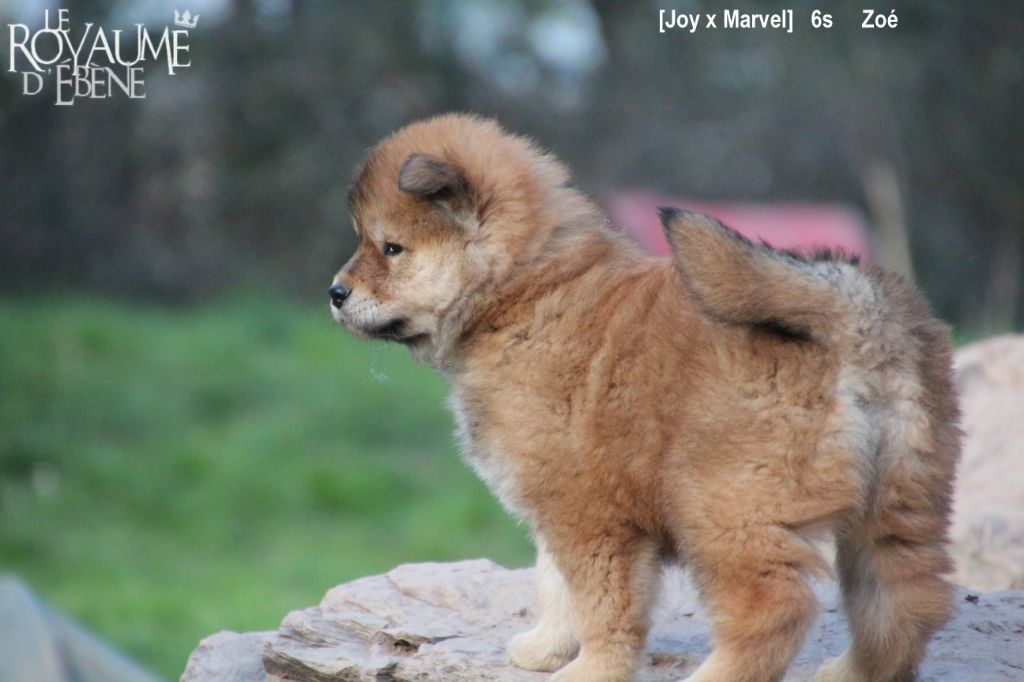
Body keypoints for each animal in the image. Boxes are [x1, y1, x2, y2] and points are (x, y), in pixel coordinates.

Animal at [329, 114, 960, 682]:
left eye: (391, 248)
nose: (335, 292)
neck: (525, 290)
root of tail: (852, 320)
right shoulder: (556, 502)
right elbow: (554, 583)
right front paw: (547, 647)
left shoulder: (590, 514)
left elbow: (602, 606)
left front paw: (590, 670)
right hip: (899, 507)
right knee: (905, 606)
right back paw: (851, 672)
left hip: (726, 509)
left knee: (772, 613)